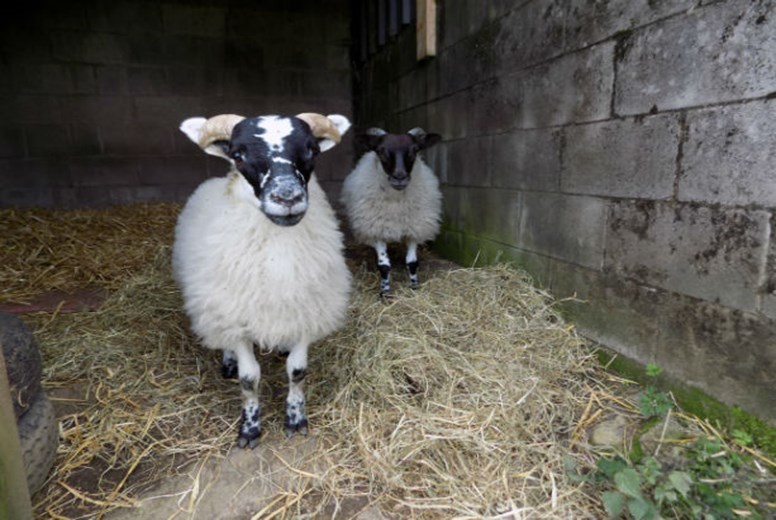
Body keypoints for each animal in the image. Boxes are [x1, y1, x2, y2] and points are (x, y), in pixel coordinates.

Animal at [174, 111, 352, 448]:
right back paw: (229, 360)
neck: (276, 254)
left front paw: (295, 418)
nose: (287, 197)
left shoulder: (307, 310)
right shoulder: (236, 315)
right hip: (216, 305)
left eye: (312, 150)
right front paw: (250, 428)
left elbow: (297, 371)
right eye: (237, 155)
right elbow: (249, 379)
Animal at [342, 126, 442, 296]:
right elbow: (384, 265)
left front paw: (414, 286)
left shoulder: (414, 228)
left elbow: (412, 262)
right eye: (381, 151)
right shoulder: (376, 228)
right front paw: (385, 292)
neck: (396, 203)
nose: (399, 177)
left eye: (415, 150)